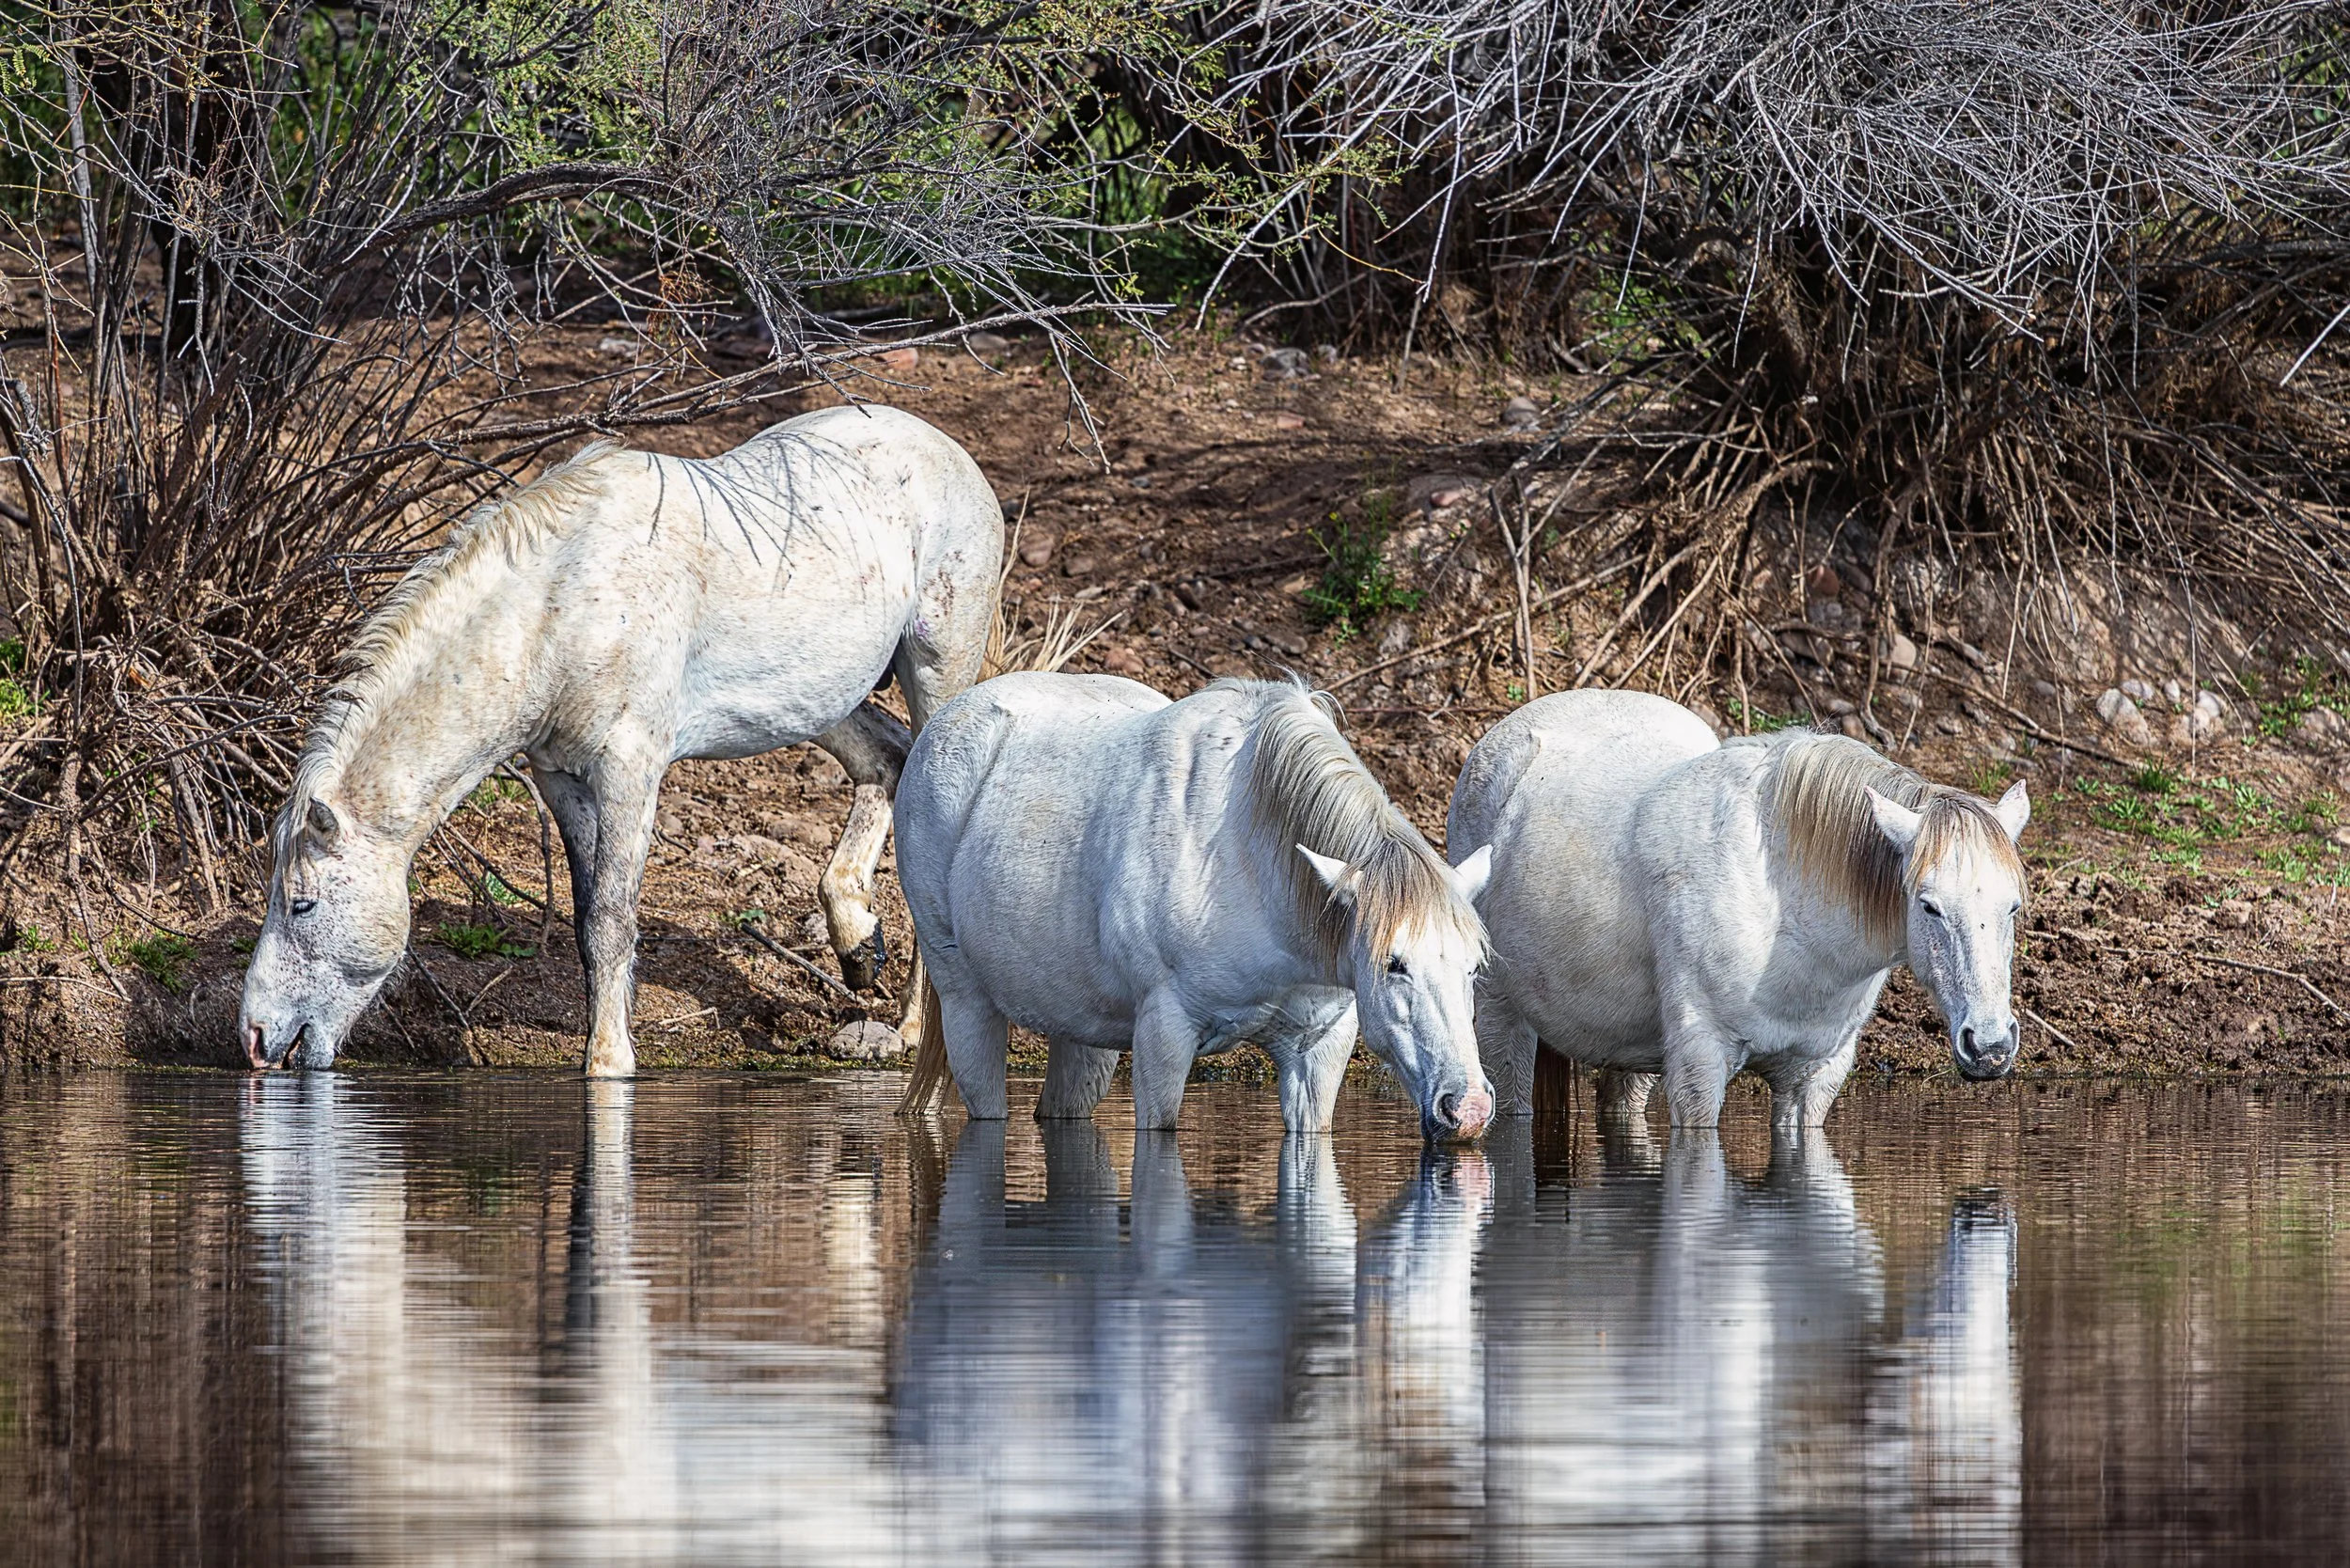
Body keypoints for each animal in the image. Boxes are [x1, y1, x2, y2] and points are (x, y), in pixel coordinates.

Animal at [239, 404, 1001, 1076]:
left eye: (302, 903)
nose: (254, 1038)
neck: (555, 610)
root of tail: (946, 448)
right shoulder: (561, 779)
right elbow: (586, 924)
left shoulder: (630, 770)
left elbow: (612, 920)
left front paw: (608, 1063)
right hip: (820, 698)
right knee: (885, 763)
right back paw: (857, 943)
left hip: (936, 671)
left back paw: (912, 1026)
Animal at [893, 674, 1498, 1138]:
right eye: (1394, 965)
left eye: (1473, 967)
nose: (1466, 1108)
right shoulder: (1164, 1035)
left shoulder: (1318, 1050)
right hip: (967, 1004)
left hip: (1082, 1034)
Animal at [1447, 690, 2030, 1130]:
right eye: (1928, 906)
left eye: (2013, 907)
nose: (1990, 1046)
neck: (1787, 915)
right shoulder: (1699, 1067)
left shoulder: (1813, 1079)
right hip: (1501, 1019)